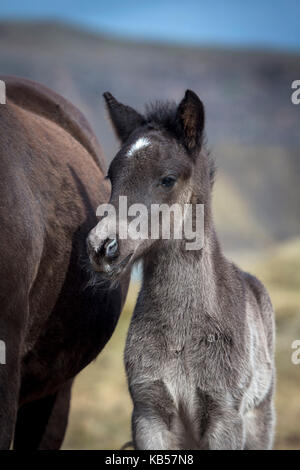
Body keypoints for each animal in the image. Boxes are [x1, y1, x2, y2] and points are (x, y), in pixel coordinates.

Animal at [86, 90, 274, 450]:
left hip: (260, 422)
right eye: (111, 177)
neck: (181, 336)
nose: (102, 247)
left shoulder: (224, 418)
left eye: (167, 179)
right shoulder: (149, 414)